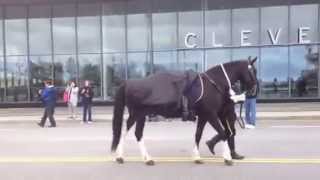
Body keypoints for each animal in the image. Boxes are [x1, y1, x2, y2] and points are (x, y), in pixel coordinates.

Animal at [110, 57, 258, 166]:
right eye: (253, 71)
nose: (254, 90)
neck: (214, 83)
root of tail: (129, 83)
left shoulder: (204, 116)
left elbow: (198, 135)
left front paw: (197, 157)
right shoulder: (211, 115)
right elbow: (223, 133)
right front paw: (227, 158)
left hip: (141, 115)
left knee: (136, 133)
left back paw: (144, 158)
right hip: (137, 114)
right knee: (128, 132)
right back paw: (123, 157)